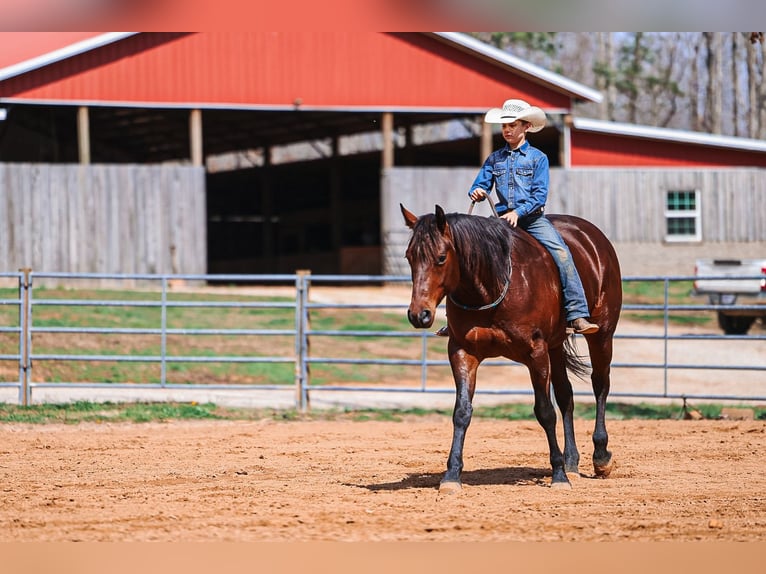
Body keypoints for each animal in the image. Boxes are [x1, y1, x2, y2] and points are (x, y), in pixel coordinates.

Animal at [401, 204, 622, 491]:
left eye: (440, 257)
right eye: (409, 257)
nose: (419, 315)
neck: (492, 285)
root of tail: (594, 237)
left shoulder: (536, 353)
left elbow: (545, 412)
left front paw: (558, 476)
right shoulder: (462, 351)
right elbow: (462, 412)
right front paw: (451, 475)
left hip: (602, 335)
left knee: (600, 385)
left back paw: (600, 457)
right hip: (556, 346)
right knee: (566, 396)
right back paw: (572, 463)